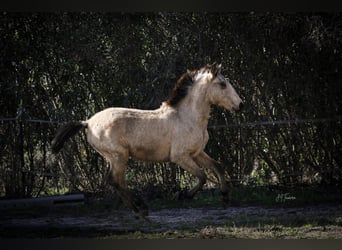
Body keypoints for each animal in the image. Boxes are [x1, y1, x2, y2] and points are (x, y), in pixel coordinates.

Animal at [50, 63, 243, 217]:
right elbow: (202, 176)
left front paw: (225, 197)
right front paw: (183, 195)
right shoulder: (180, 157)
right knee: (115, 181)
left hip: (114, 157)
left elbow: (217, 166)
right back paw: (139, 209)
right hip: (119, 156)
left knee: (115, 181)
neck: (187, 118)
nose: (241, 105)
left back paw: (139, 208)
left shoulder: (197, 153)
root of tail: (88, 122)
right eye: (222, 84)